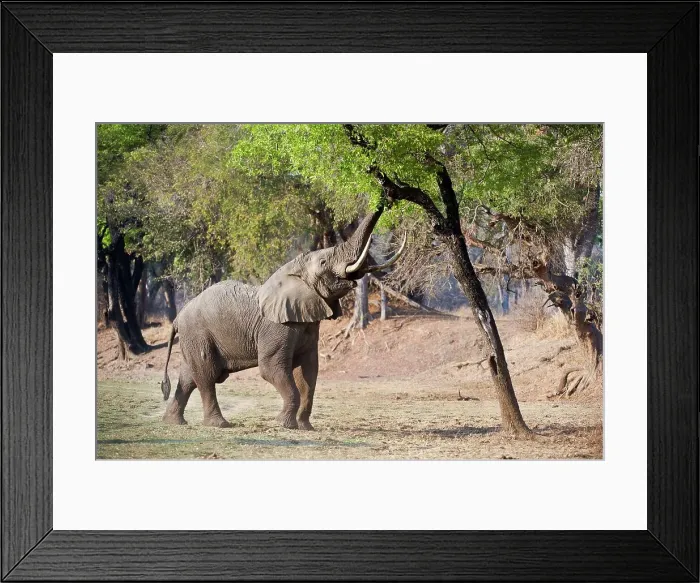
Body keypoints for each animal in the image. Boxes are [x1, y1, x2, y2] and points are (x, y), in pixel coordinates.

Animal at [160, 206, 405, 430]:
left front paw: (305, 427)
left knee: (189, 377)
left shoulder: (308, 325)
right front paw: (284, 425)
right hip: (198, 333)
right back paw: (219, 425)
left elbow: (308, 373)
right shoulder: (277, 326)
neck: (293, 271)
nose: (386, 196)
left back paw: (174, 422)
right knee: (206, 375)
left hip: (194, 337)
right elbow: (271, 368)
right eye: (324, 263)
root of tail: (178, 317)